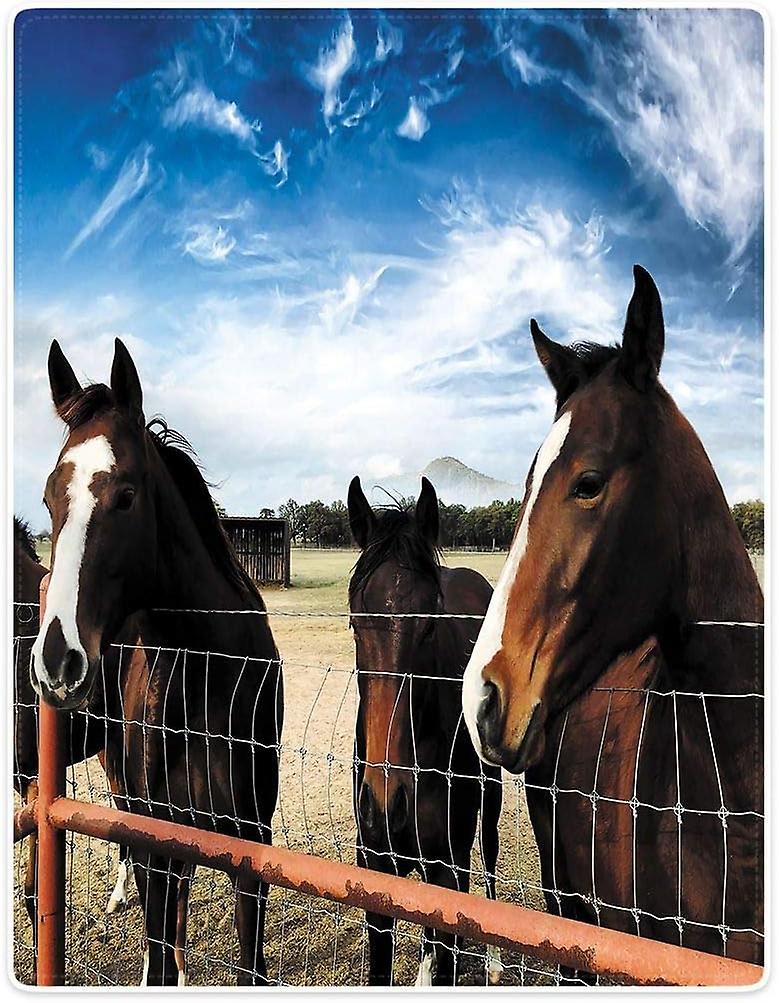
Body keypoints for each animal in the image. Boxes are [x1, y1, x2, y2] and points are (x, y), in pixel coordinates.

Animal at [31, 338, 284, 985]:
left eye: (126, 494)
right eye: (49, 497)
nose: (58, 661)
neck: (213, 677)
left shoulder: (251, 850)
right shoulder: (158, 842)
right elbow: (159, 950)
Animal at [348, 476, 503, 986]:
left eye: (431, 625)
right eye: (355, 623)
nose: (387, 803)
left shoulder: (444, 868)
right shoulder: (375, 869)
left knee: (487, 859)